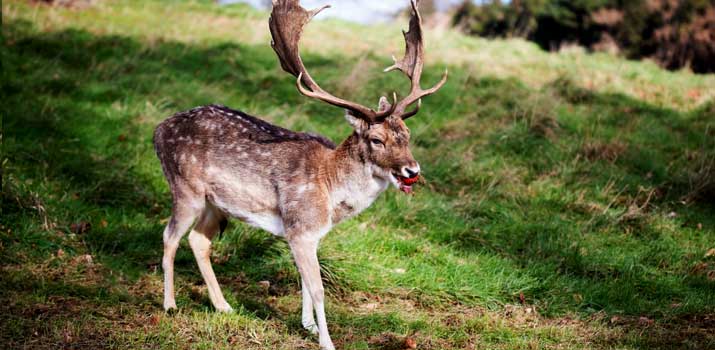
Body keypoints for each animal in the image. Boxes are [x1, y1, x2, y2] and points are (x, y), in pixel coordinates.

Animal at [154, 0, 448, 348]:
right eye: (377, 139)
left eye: (407, 134)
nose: (411, 170)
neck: (331, 190)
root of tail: (157, 131)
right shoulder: (300, 227)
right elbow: (318, 288)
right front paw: (326, 341)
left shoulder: (313, 234)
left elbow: (307, 284)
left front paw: (308, 326)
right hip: (185, 187)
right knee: (170, 235)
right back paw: (170, 304)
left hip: (215, 204)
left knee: (198, 240)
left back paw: (224, 306)